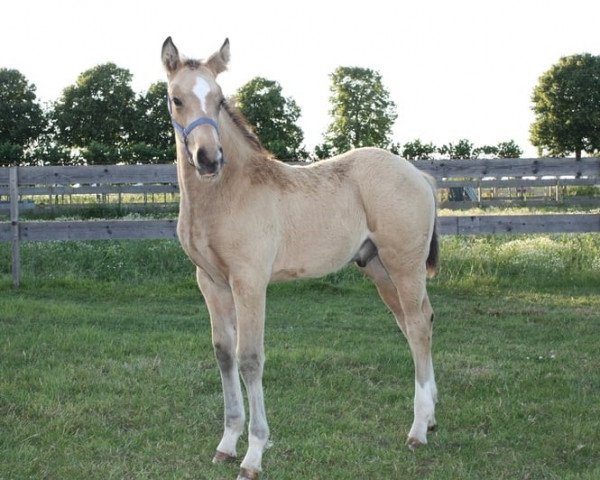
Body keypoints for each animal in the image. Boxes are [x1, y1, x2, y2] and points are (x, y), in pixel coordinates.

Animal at [162, 37, 438, 480]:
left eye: (219, 99)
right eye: (176, 99)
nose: (208, 158)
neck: (228, 192)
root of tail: (419, 175)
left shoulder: (249, 282)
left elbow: (250, 358)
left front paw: (254, 453)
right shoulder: (211, 283)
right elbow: (223, 354)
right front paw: (226, 443)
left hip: (405, 265)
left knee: (416, 326)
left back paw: (417, 430)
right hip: (380, 269)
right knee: (418, 321)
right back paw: (429, 418)